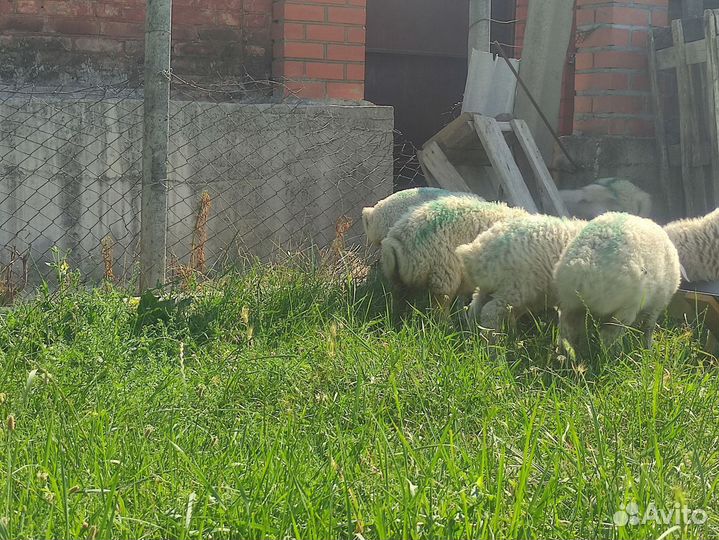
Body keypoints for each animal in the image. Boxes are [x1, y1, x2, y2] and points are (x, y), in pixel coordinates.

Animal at [380, 196, 527, 313]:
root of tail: (398, 239)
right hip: (443, 273)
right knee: (440, 305)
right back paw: (445, 326)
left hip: (401, 279)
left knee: (400, 299)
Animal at [455, 215, 587, 330]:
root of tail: (477, 252)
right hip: (513, 288)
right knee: (490, 311)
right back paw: (492, 340)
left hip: (490, 286)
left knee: (476, 306)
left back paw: (473, 333)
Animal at [553, 212, 681, 352]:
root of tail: (582, 266)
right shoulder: (657, 304)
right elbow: (648, 328)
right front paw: (648, 348)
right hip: (625, 308)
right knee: (608, 336)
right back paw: (617, 354)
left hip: (572, 304)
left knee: (567, 331)